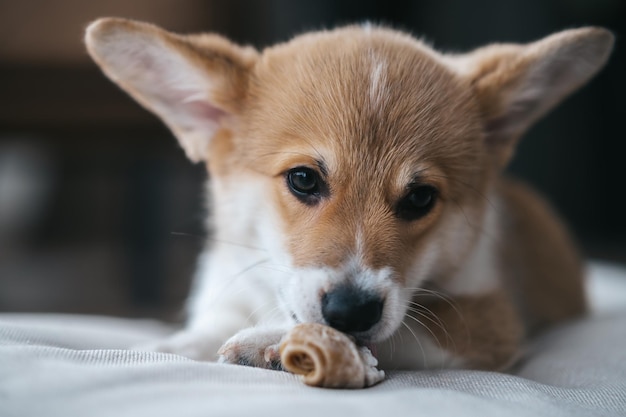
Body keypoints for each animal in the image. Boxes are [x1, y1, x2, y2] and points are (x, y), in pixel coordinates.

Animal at [85, 18, 612, 370]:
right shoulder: (224, 290)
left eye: (420, 198)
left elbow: (406, 328)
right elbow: (205, 328)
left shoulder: (490, 320)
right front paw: (163, 347)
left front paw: (269, 340)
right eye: (303, 179)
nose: (351, 311)